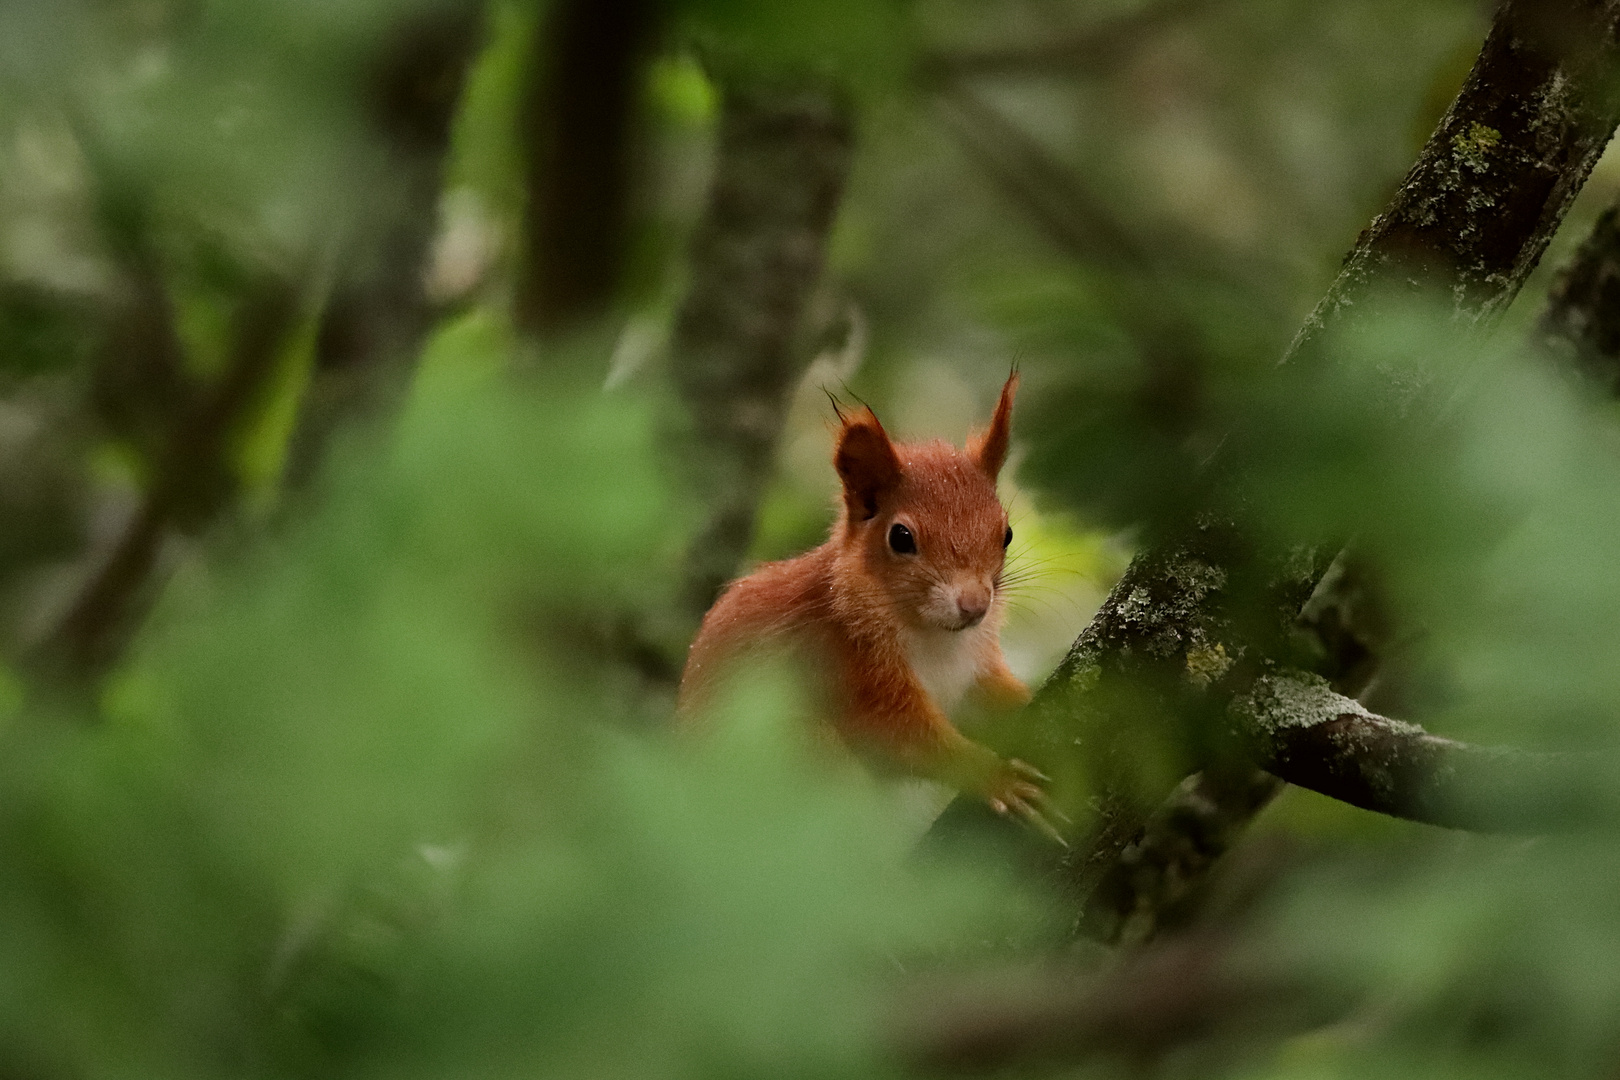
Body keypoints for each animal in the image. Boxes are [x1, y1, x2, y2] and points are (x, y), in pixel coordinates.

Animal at [673, 375, 1062, 841]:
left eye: (1006, 533)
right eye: (900, 537)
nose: (974, 605)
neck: (931, 636)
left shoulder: (971, 670)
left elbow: (992, 700)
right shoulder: (841, 661)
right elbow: (900, 736)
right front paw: (993, 776)